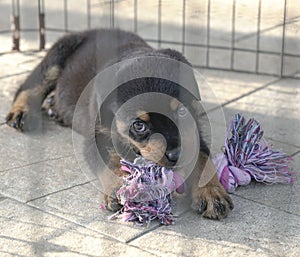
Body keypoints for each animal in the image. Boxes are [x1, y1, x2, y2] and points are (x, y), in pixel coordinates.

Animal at [5, 29, 233, 219]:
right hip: (57, 57)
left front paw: (212, 193)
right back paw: (22, 113)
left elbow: (203, 160)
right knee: (29, 86)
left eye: (183, 112)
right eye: (139, 125)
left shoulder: (194, 132)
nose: (177, 156)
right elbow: (110, 162)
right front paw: (118, 188)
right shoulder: (96, 135)